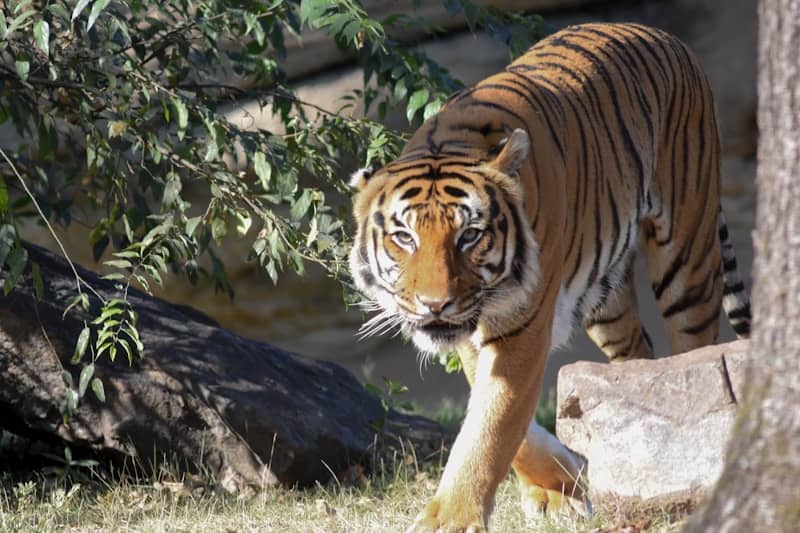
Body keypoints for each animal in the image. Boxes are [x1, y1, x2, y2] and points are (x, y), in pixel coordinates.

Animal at [347, 22, 751, 532]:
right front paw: (559, 488)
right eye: (404, 237)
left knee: (693, 352)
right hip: (606, 300)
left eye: (469, 235)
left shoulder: (521, 323)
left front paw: (451, 519)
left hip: (686, 254)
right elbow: (503, 419)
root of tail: (662, 34)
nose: (435, 304)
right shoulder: (473, 330)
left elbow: (494, 421)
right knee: (638, 355)